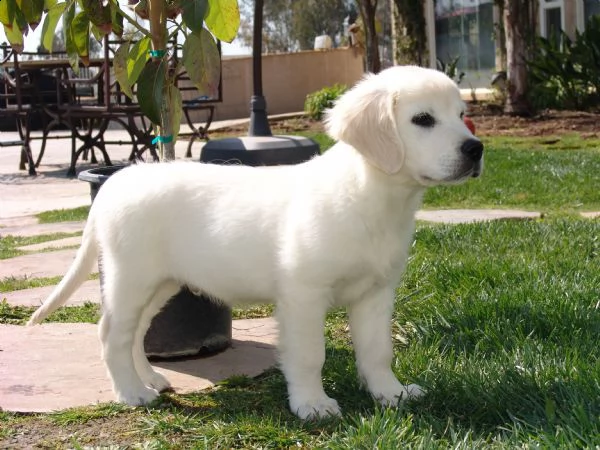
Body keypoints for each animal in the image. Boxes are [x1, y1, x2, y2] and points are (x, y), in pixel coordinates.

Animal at [28, 65, 482, 420]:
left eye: (462, 115)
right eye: (423, 119)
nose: (476, 149)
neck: (371, 195)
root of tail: (113, 183)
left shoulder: (375, 293)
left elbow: (377, 351)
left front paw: (391, 393)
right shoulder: (303, 295)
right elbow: (309, 355)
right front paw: (312, 404)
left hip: (162, 284)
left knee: (136, 333)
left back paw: (153, 379)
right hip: (132, 278)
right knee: (112, 334)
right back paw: (132, 393)